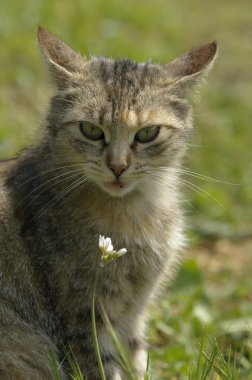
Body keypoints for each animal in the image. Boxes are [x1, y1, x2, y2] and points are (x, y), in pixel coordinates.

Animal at [0, 27, 217, 380]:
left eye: (147, 134)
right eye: (90, 129)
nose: (117, 166)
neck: (138, 213)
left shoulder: (134, 314)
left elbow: (137, 359)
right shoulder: (84, 316)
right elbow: (102, 366)